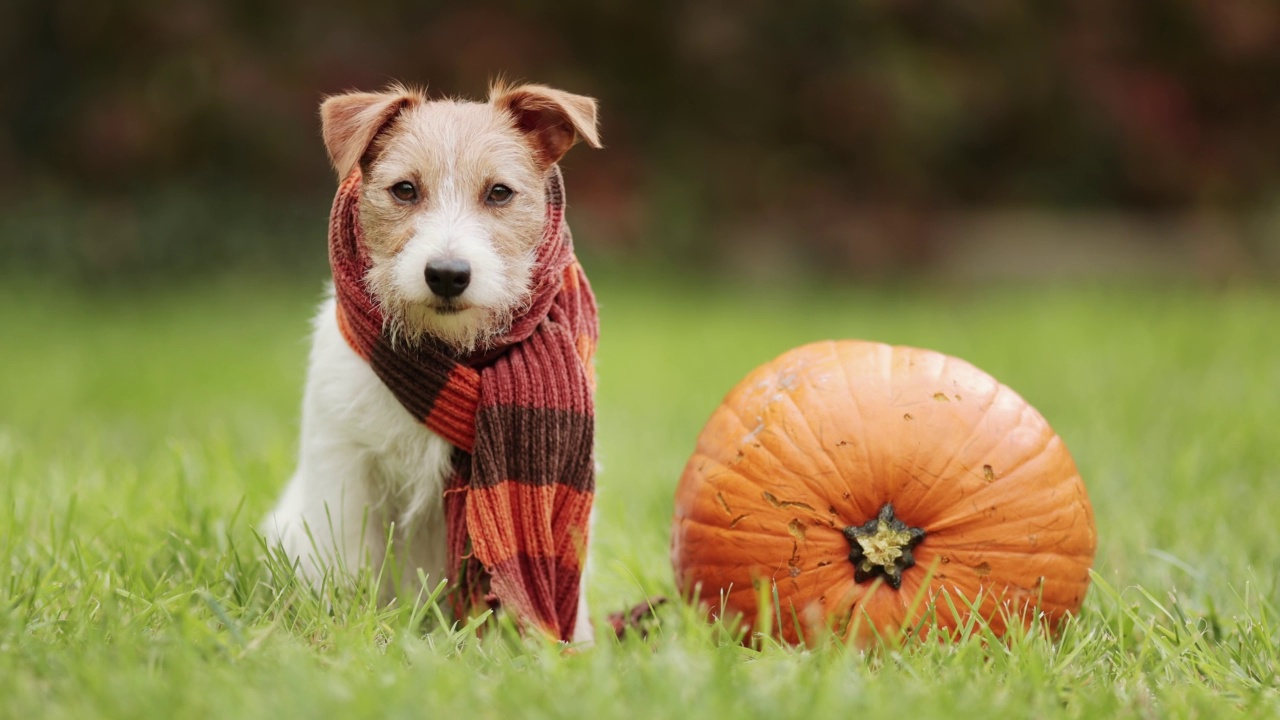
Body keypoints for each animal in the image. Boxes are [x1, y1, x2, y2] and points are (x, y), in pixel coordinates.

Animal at [262, 81, 601, 640]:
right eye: (404, 190)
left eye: (499, 193)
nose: (446, 274)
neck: (450, 350)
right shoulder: (344, 466)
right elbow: (346, 562)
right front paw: (344, 630)